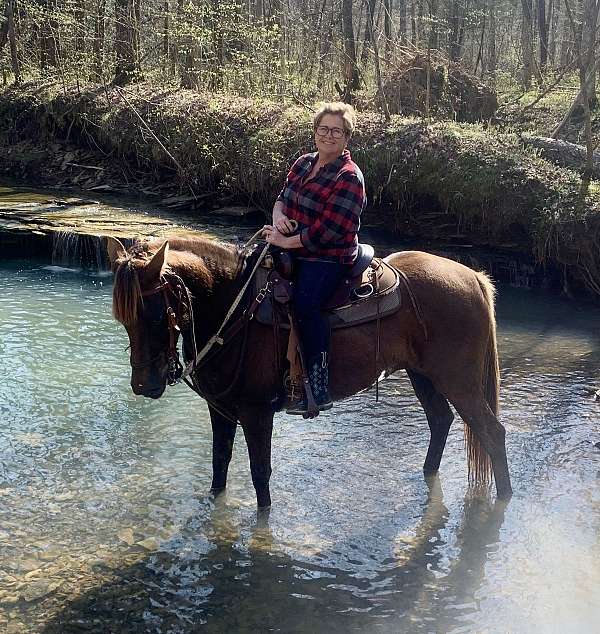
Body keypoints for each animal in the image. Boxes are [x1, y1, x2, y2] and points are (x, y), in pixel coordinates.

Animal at [106, 235, 510, 506]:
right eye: (123, 319)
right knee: (440, 421)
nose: (144, 385)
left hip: (459, 380)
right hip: (422, 374)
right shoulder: (220, 409)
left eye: (155, 314)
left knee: (492, 432)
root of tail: (474, 277)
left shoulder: (256, 413)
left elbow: (260, 475)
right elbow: (219, 465)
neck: (234, 308)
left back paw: (504, 497)